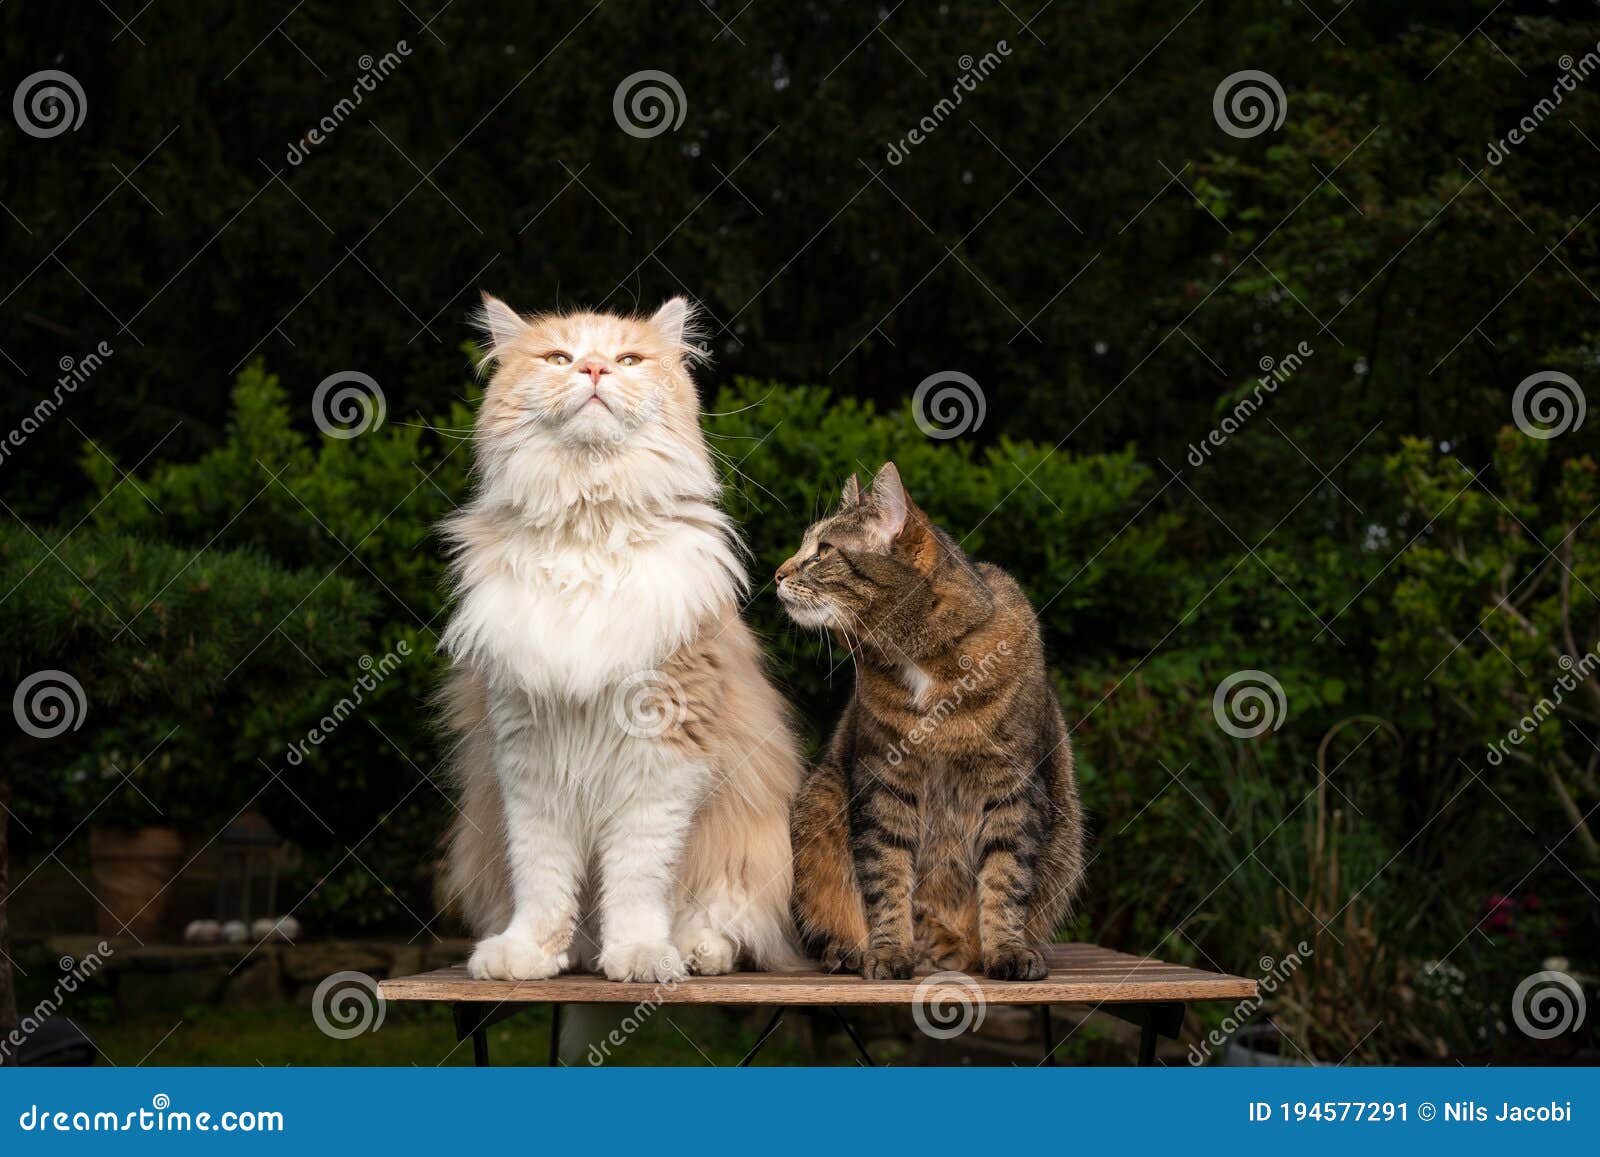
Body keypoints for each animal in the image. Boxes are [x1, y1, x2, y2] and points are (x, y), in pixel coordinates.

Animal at [438, 291, 806, 979]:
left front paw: (639, 956)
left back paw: (695, 953)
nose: (594, 371)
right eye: (559, 358)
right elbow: (543, 881)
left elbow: (636, 882)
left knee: (730, 923)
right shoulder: (528, 756)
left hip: (752, 850)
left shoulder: (662, 755)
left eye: (628, 359)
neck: (590, 529)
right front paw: (530, 954)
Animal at [777, 460, 1088, 979]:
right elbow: (886, 877)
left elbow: (1005, 879)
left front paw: (1007, 951)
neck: (922, 661)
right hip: (816, 808)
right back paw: (851, 950)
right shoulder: (884, 782)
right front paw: (888, 952)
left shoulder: (1012, 787)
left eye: (823, 552)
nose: (777, 574)